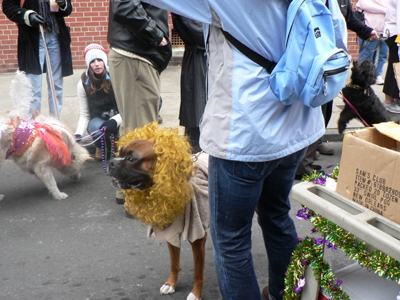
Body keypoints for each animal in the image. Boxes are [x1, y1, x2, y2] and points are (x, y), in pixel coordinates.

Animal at [0, 71, 91, 200]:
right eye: (80, 167)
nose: (78, 178)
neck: (64, 147)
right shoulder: (42, 166)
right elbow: (52, 182)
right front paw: (58, 195)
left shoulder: (36, 167)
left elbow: (46, 181)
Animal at [108, 139, 211, 300]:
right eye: (120, 153)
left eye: (131, 159)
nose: (111, 161)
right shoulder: (170, 233)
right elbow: (174, 263)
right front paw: (171, 284)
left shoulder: (197, 237)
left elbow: (198, 272)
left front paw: (196, 293)